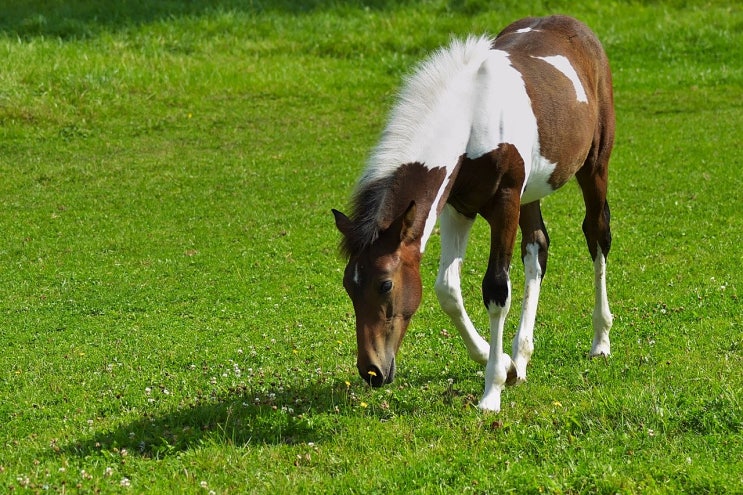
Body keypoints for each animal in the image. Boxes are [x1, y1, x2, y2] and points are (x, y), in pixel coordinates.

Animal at [332, 15, 616, 412]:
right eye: (348, 285)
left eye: (385, 284)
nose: (372, 371)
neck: (471, 115)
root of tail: (577, 26)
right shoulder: (457, 208)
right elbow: (447, 289)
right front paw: (505, 364)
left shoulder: (504, 204)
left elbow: (496, 289)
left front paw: (492, 390)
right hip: (531, 193)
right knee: (537, 248)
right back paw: (522, 356)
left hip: (594, 167)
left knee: (597, 235)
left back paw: (600, 340)